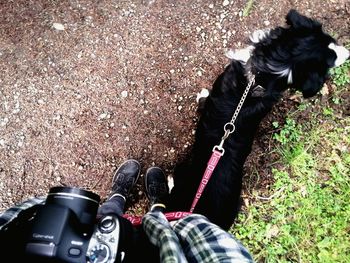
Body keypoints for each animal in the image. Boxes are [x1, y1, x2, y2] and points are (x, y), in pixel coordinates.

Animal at [168, 9, 348, 230]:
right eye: (331, 43)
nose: (348, 53)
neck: (264, 76)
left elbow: (204, 99)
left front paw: (201, 94)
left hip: (183, 171)